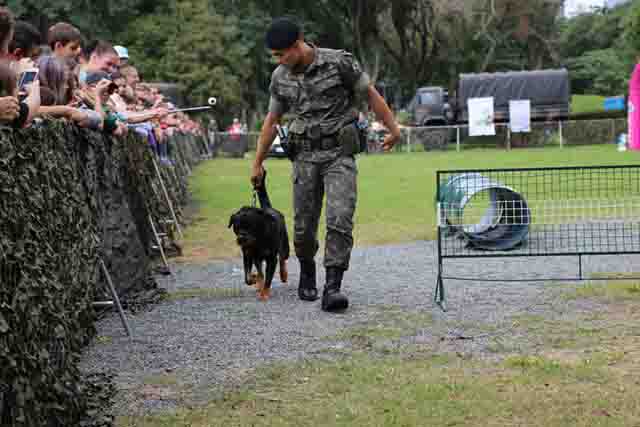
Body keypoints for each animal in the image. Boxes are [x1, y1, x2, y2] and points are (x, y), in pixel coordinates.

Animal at [229, 171, 288, 300]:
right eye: (236, 227)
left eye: (250, 226)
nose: (241, 238)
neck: (258, 240)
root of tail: (268, 207)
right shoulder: (250, 256)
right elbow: (251, 276)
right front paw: (256, 280)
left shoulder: (271, 258)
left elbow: (268, 277)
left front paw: (264, 293)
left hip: (284, 244)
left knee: (283, 259)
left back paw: (283, 275)